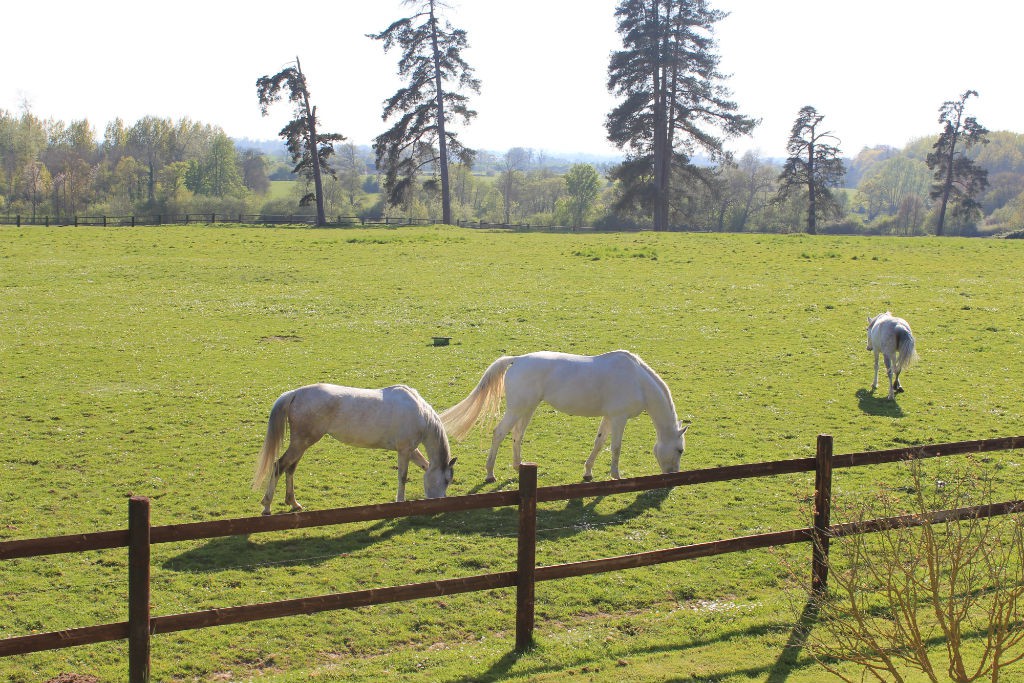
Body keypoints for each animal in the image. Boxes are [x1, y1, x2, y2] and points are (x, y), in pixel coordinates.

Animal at [251, 385, 456, 511]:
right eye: (447, 480)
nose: (441, 502)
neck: (419, 413)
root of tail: (294, 393)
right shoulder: (404, 450)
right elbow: (403, 477)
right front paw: (400, 501)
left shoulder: (411, 451)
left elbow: (424, 466)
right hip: (301, 443)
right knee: (279, 466)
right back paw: (267, 506)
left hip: (301, 445)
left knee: (290, 469)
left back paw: (293, 503)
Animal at [440, 350, 688, 483]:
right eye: (680, 450)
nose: (674, 475)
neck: (637, 380)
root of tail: (517, 359)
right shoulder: (619, 417)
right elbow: (615, 447)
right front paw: (616, 475)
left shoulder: (608, 417)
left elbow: (599, 443)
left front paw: (588, 473)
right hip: (517, 409)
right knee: (499, 433)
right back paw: (490, 474)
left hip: (527, 409)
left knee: (517, 434)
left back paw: (518, 466)